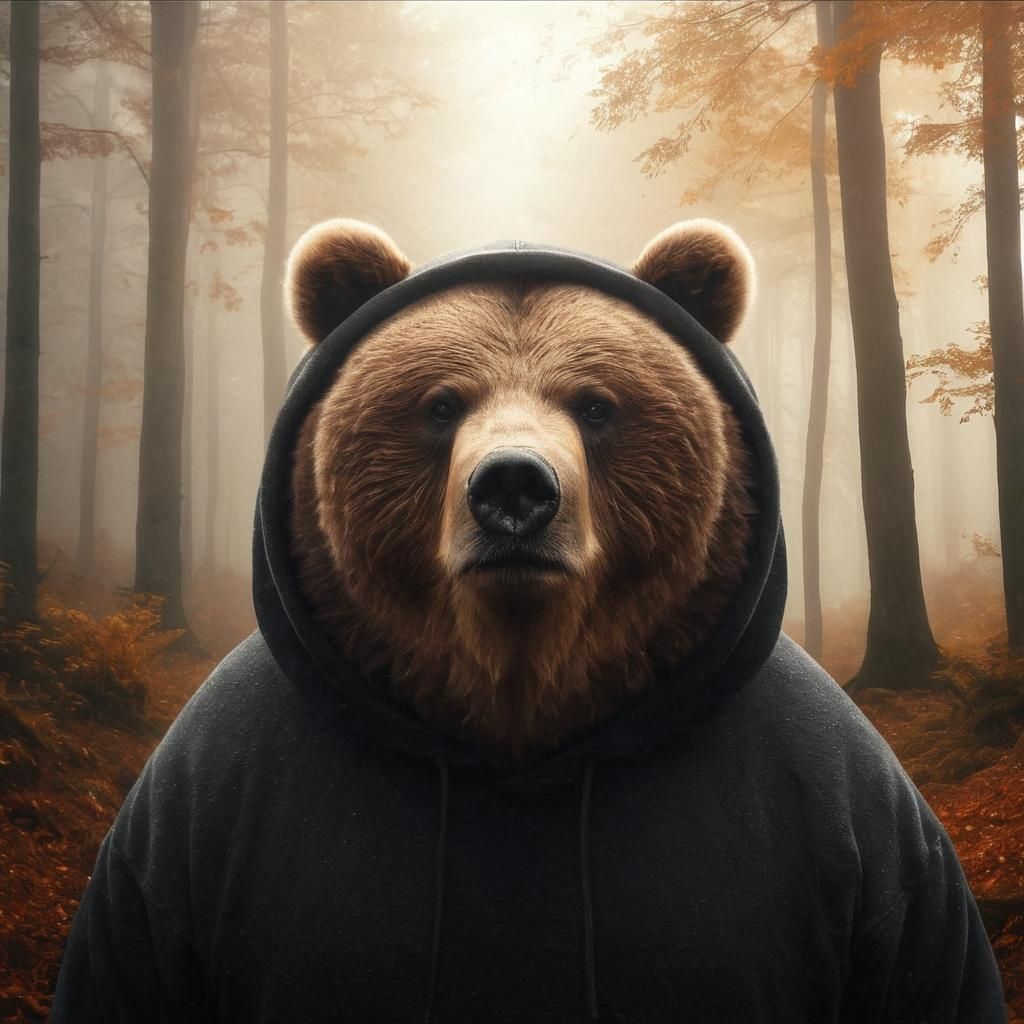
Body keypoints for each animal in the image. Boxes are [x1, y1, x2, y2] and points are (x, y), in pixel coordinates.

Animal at [51, 219, 1007, 1024]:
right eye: (441, 405)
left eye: (595, 404)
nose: (514, 488)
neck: (519, 689)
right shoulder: (199, 788)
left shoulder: (853, 798)